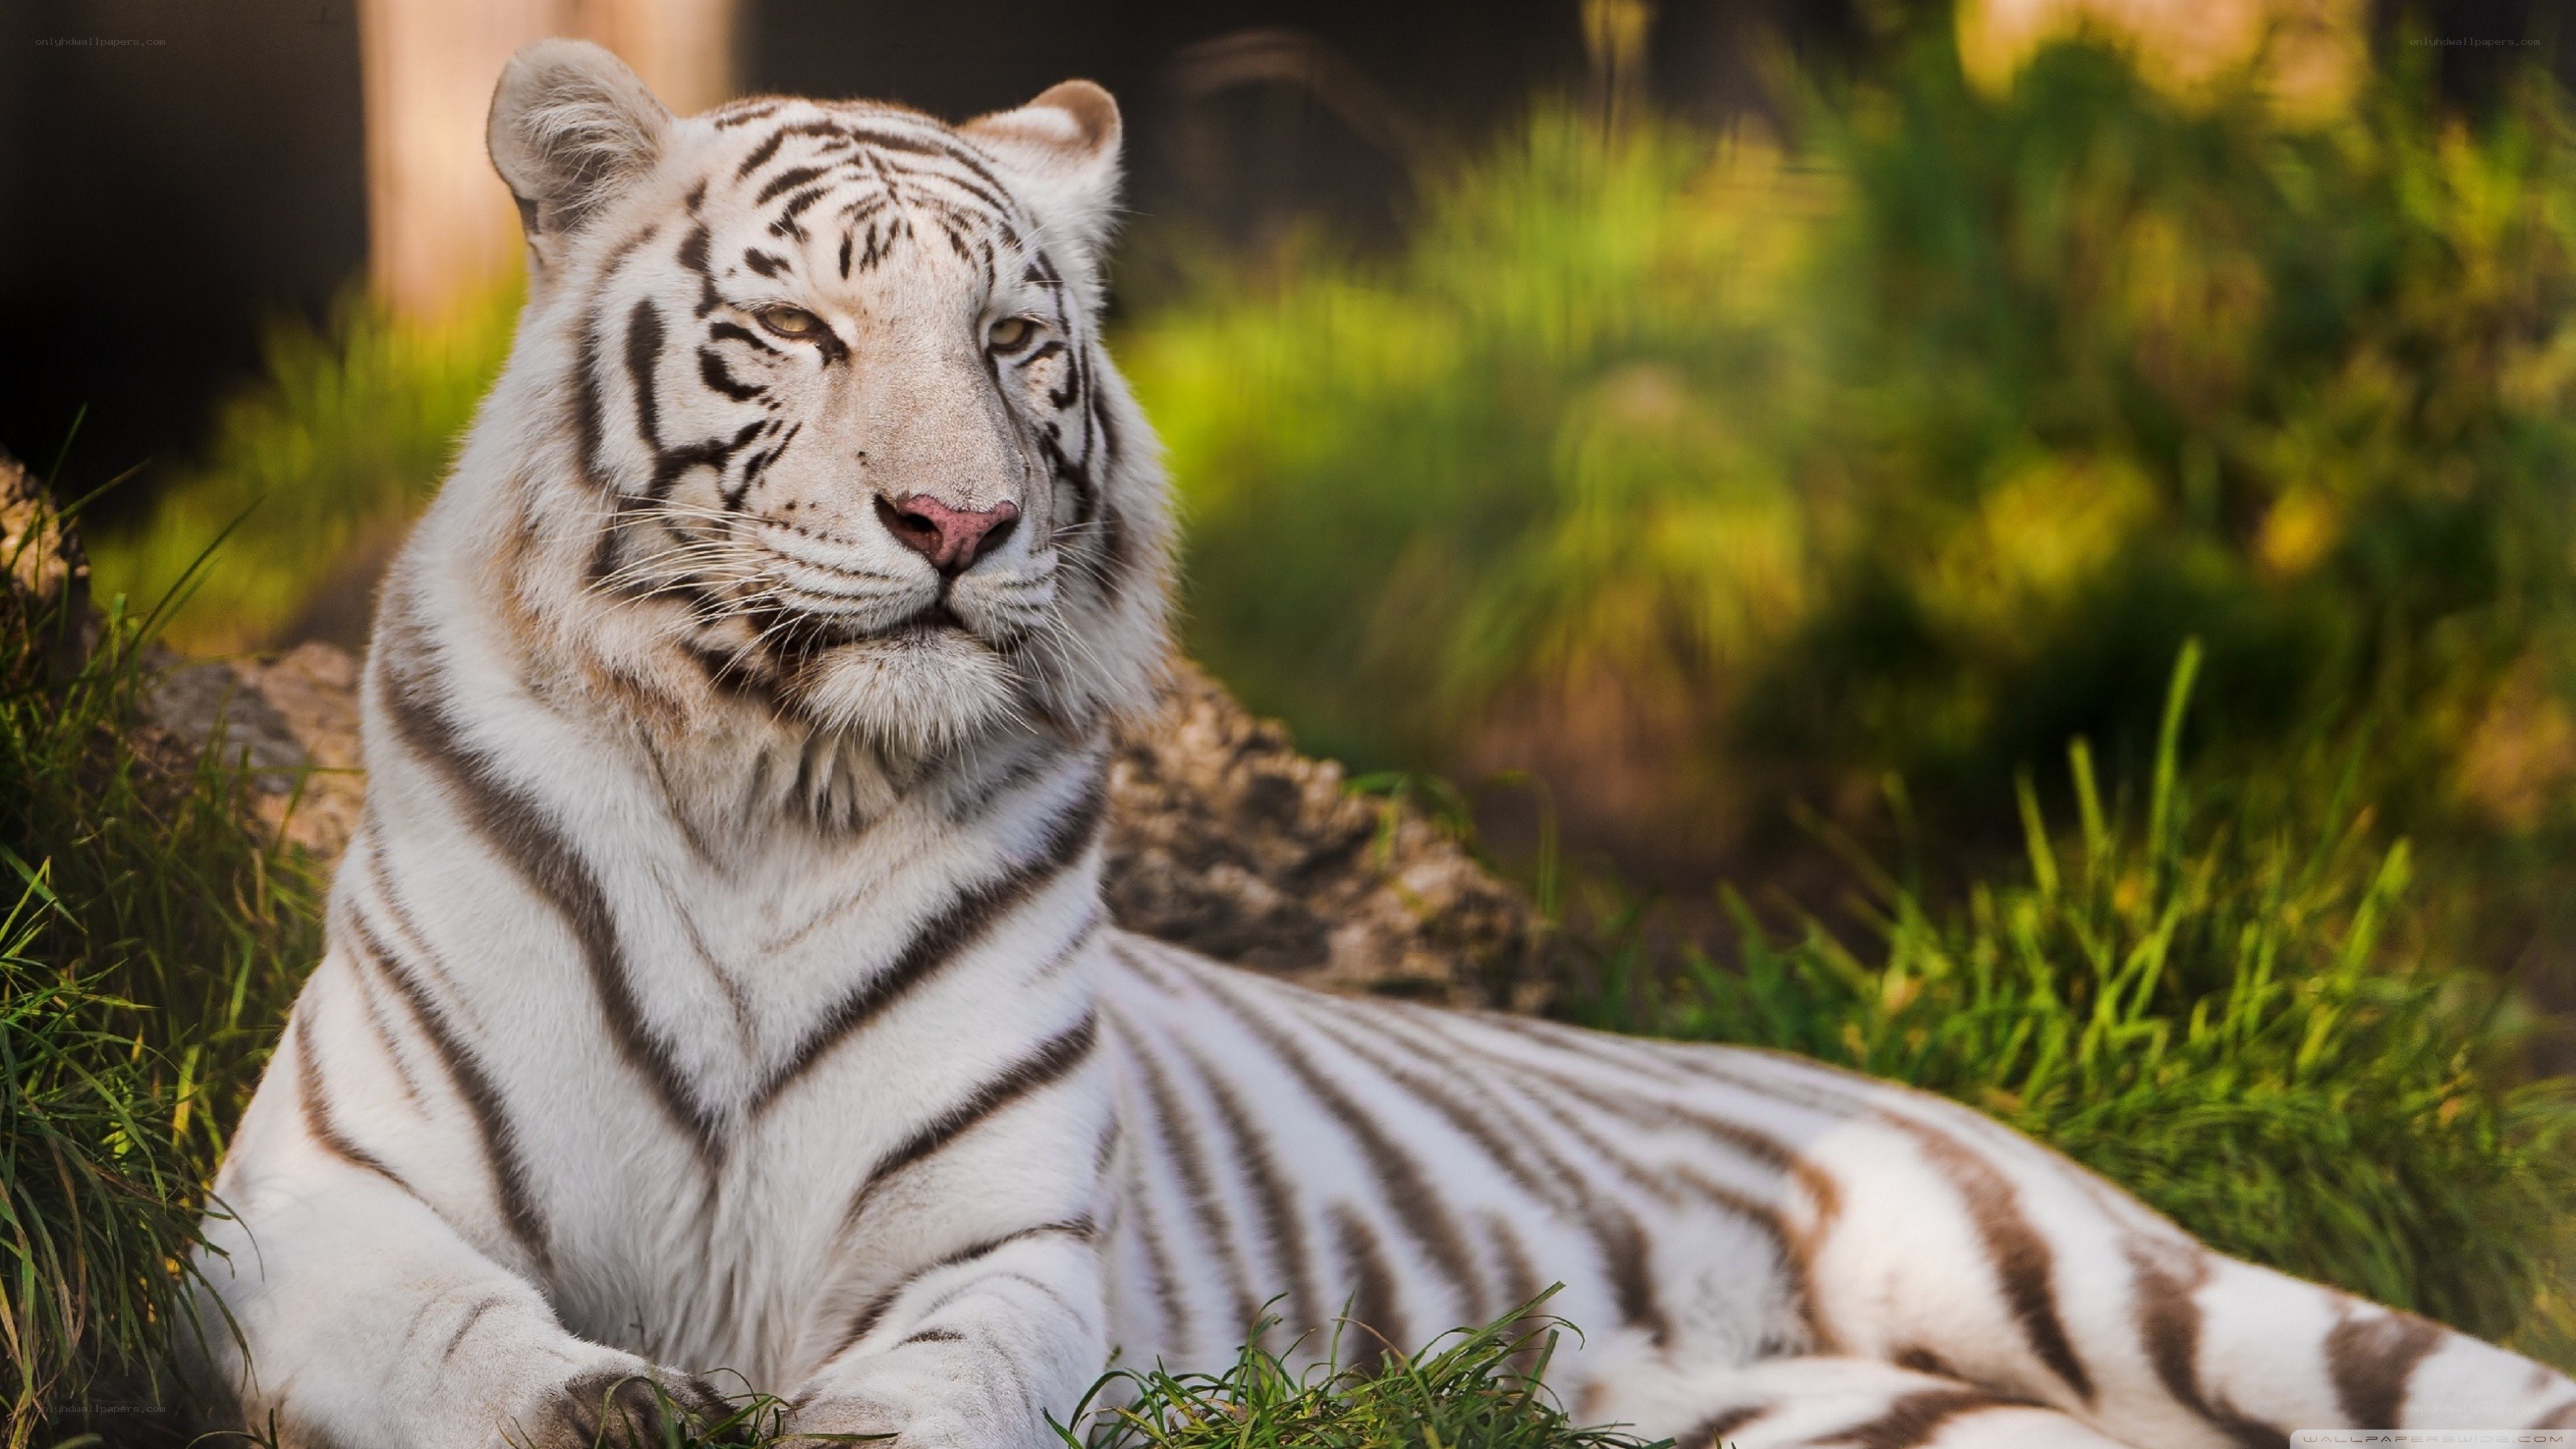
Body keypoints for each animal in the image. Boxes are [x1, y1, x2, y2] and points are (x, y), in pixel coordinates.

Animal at [183, 37, 2576, 1449]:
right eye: (798, 326)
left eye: (1013, 341)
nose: (956, 525)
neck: (773, 781)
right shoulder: (322, 1199)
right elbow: (478, 1348)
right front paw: (633, 1401)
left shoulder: (1004, 1249)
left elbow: (925, 1384)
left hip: (2106, 1278)